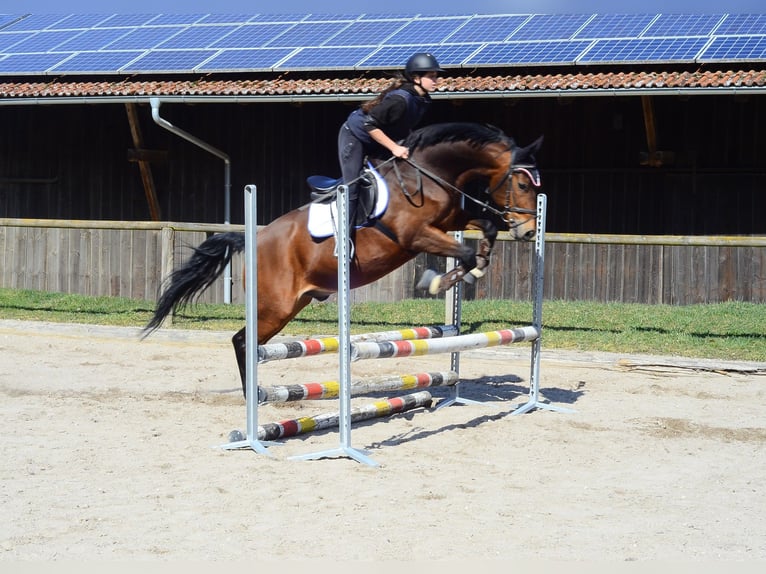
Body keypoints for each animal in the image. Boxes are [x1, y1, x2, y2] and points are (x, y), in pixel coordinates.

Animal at [143, 122, 543, 395]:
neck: (429, 174)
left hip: (292, 304)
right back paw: (251, 397)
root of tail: (257, 237)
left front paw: (473, 270)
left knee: (248, 342)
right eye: (523, 184)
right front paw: (438, 281)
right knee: (243, 342)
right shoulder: (415, 235)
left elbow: (485, 229)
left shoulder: (450, 221)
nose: (528, 232)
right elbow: (465, 250)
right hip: (274, 306)